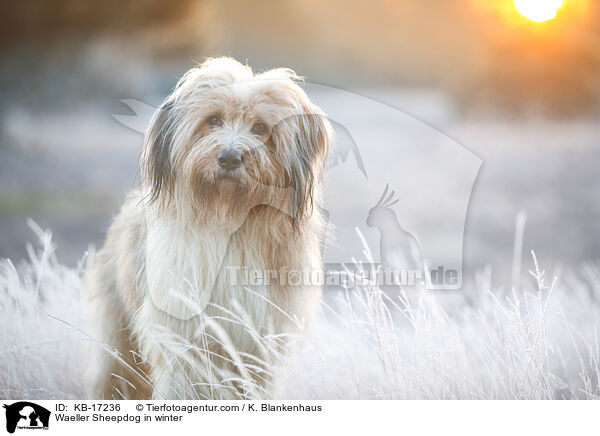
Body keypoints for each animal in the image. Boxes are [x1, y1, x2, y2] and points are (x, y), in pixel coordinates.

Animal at [83, 57, 332, 398]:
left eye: (260, 128)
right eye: (214, 120)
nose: (229, 158)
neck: (232, 220)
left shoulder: (259, 343)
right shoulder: (185, 336)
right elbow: (185, 384)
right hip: (118, 338)